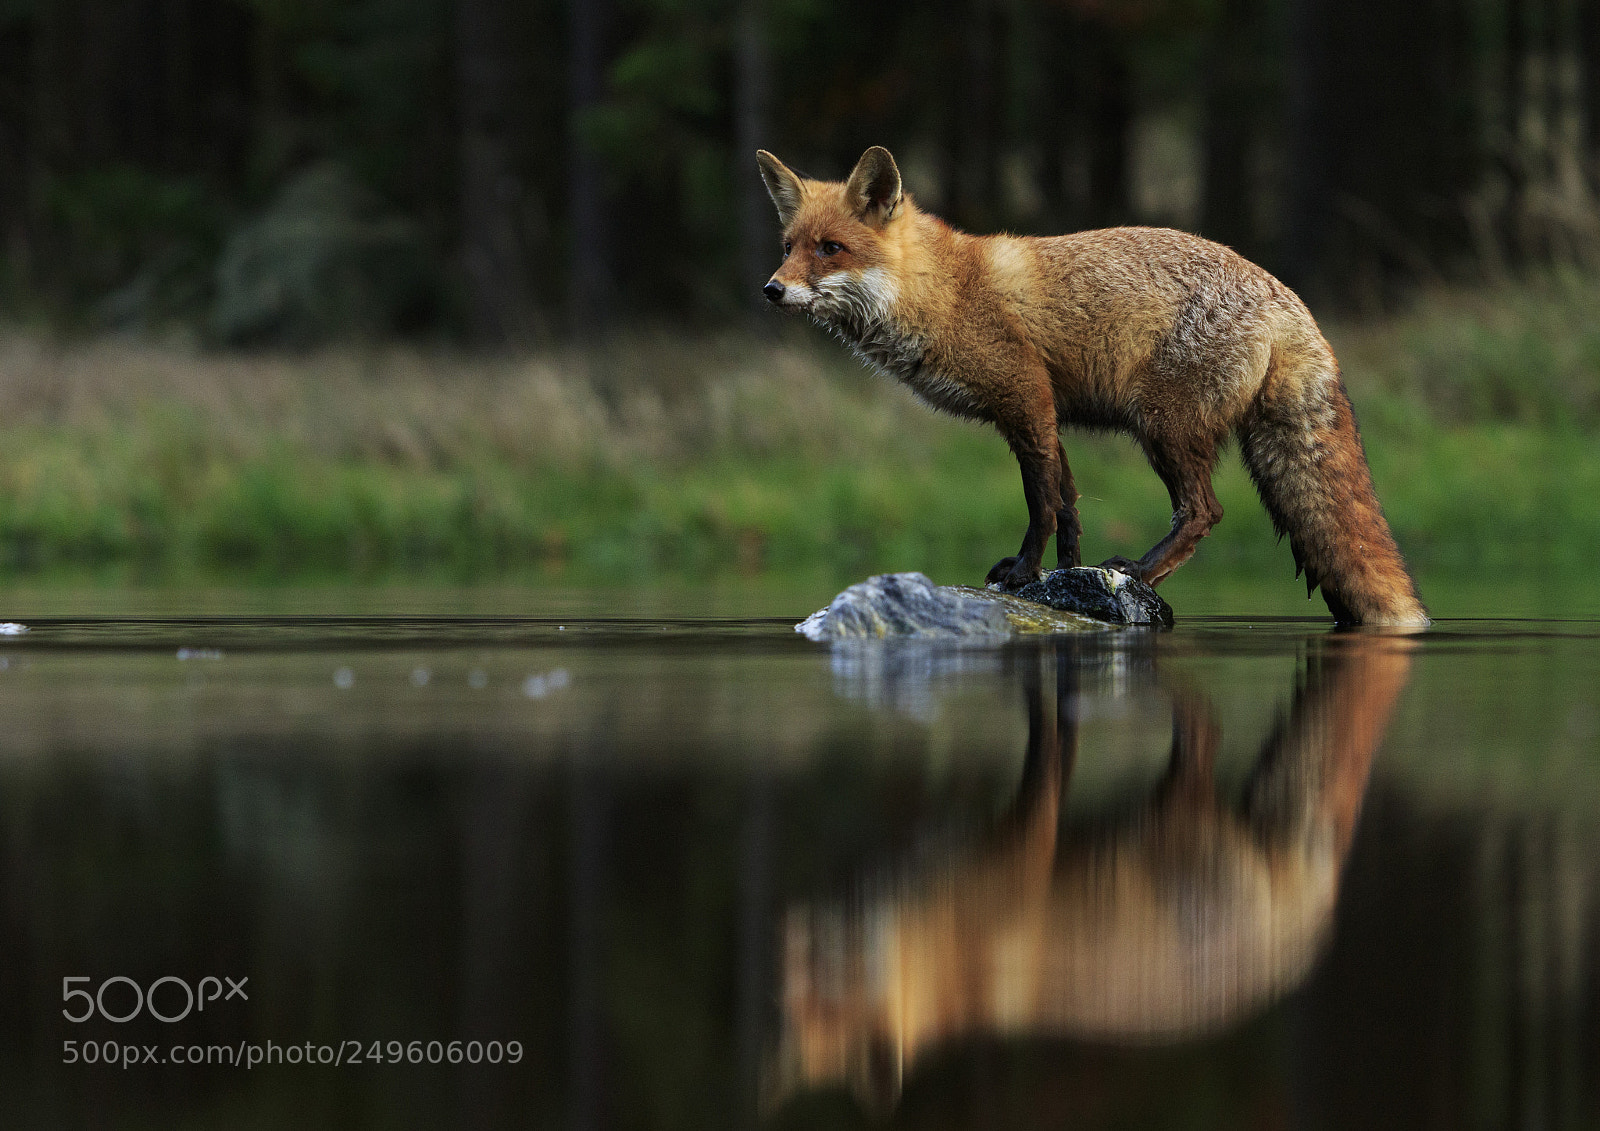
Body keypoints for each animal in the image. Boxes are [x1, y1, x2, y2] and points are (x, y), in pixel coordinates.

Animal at [756, 146, 1429, 627]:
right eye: (788, 247)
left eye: (831, 249)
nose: (771, 290)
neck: (943, 293)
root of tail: (1289, 301)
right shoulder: (1046, 411)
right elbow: (1069, 503)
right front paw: (1065, 578)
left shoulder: (1025, 397)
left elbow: (1041, 502)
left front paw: (1025, 573)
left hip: (1162, 427)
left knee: (1204, 512)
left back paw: (1141, 572)